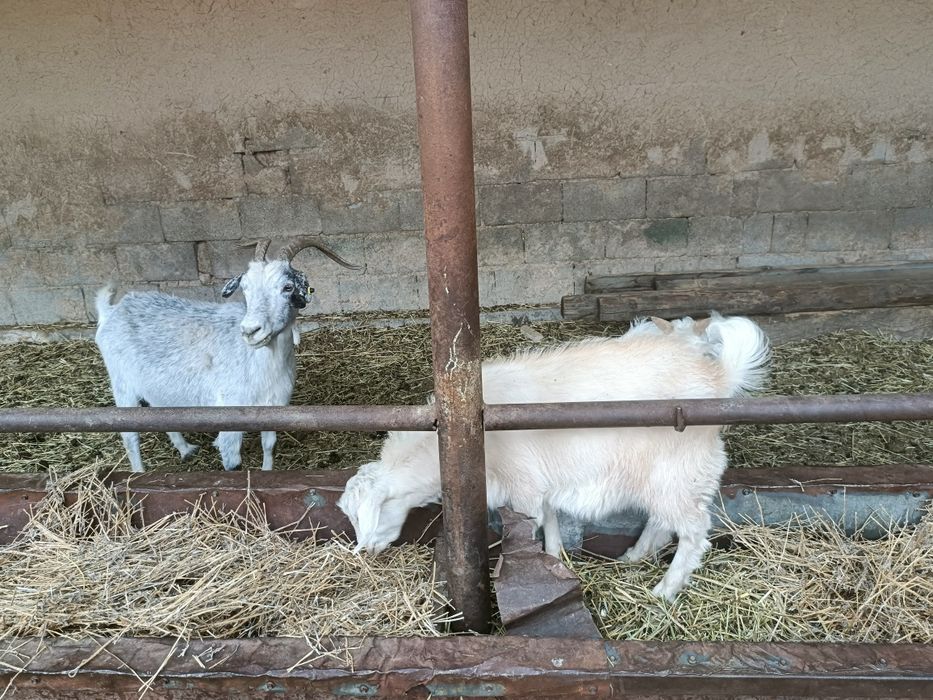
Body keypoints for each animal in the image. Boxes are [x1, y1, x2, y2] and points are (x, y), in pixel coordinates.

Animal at [94, 237, 360, 473]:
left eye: (287, 287)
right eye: (245, 288)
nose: (250, 330)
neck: (261, 365)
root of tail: (111, 311)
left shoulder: (273, 407)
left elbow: (269, 446)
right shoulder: (229, 416)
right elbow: (233, 464)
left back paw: (186, 450)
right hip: (122, 384)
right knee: (129, 435)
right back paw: (138, 472)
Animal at [337, 313, 770, 600]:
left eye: (367, 514)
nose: (365, 553)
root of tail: (719, 380)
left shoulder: (522, 485)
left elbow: (531, 526)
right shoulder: (536, 482)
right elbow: (550, 521)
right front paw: (555, 560)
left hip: (680, 473)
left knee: (694, 532)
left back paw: (664, 590)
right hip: (663, 477)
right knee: (663, 522)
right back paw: (633, 557)